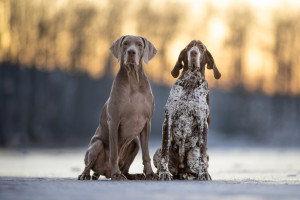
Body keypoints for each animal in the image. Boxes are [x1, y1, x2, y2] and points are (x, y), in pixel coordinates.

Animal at [77, 35, 157, 180]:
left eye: (139, 44)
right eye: (125, 43)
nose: (131, 52)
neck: (133, 81)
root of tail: (105, 172)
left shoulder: (147, 122)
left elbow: (146, 153)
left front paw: (149, 173)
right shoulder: (114, 121)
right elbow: (114, 152)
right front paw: (116, 174)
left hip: (135, 143)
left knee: (126, 169)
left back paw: (134, 175)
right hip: (96, 145)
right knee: (88, 165)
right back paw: (87, 175)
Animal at [155, 39, 220, 180]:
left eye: (201, 48)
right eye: (189, 47)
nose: (194, 52)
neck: (191, 80)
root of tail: (181, 168)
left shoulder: (202, 122)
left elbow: (202, 154)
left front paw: (204, 174)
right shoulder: (168, 120)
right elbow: (165, 154)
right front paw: (164, 173)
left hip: (193, 154)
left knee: (194, 167)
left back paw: (191, 175)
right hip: (158, 152)